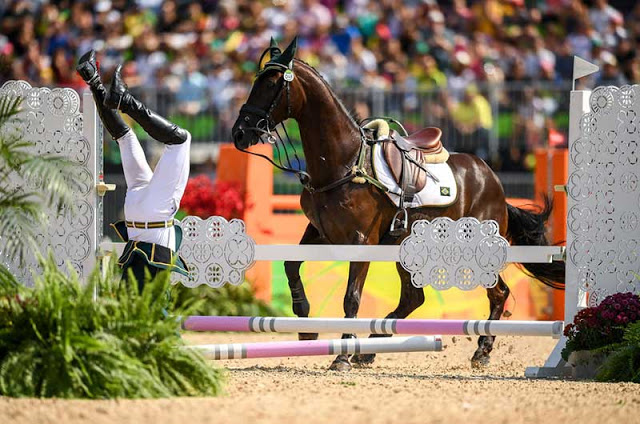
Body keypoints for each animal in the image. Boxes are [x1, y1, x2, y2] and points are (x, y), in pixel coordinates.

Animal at [231, 39, 564, 372]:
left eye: (271, 83)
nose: (239, 133)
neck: (342, 163)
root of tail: (493, 182)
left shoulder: (361, 242)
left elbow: (351, 297)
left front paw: (341, 355)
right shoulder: (321, 233)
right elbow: (290, 265)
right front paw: (306, 321)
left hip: (472, 252)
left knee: (498, 292)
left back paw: (482, 350)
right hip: (409, 252)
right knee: (413, 299)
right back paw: (369, 349)